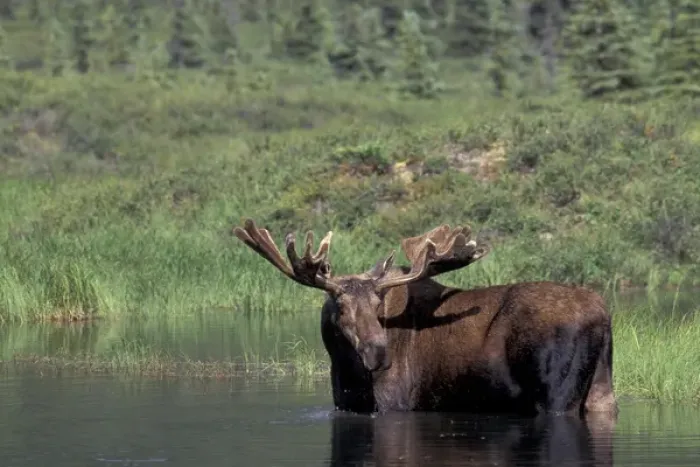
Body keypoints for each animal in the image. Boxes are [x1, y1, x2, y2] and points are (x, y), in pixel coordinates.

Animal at [233, 218, 618, 417]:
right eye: (339, 305)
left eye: (378, 304)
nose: (378, 353)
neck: (343, 368)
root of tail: (602, 316)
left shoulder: (393, 404)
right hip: (601, 390)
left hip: (557, 395)